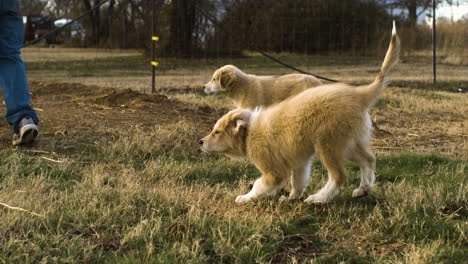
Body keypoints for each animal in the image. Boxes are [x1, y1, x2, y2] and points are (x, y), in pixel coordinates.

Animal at [199, 22, 400, 204]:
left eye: (217, 132)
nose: (200, 142)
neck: (249, 131)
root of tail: (358, 94)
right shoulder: (299, 162)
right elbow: (298, 181)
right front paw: (292, 197)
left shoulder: (274, 171)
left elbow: (259, 185)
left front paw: (244, 198)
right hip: (349, 142)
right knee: (368, 159)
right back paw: (362, 189)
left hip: (328, 144)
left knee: (339, 176)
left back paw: (319, 198)